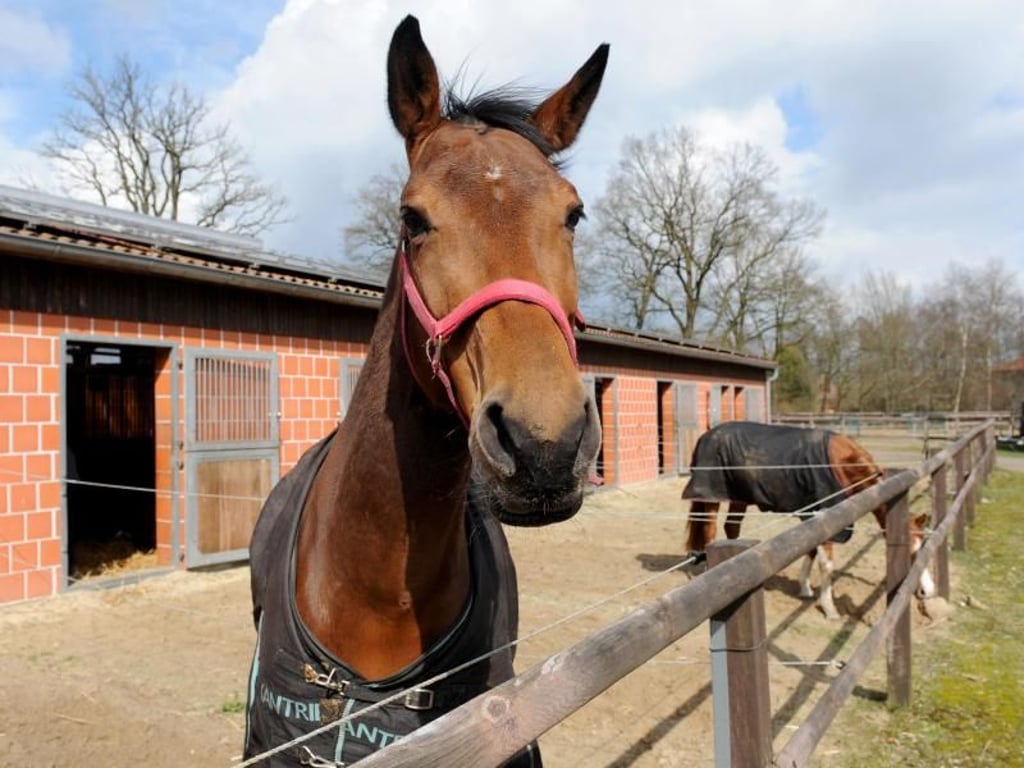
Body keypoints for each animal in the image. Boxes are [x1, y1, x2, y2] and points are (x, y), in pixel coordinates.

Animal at [682, 421, 934, 620]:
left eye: (921, 545)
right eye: (908, 551)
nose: (927, 591)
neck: (840, 463)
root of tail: (706, 436)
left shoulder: (812, 518)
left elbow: (810, 551)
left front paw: (804, 588)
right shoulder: (825, 516)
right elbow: (827, 564)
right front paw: (830, 609)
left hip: (740, 497)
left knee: (732, 527)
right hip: (712, 496)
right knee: (710, 531)